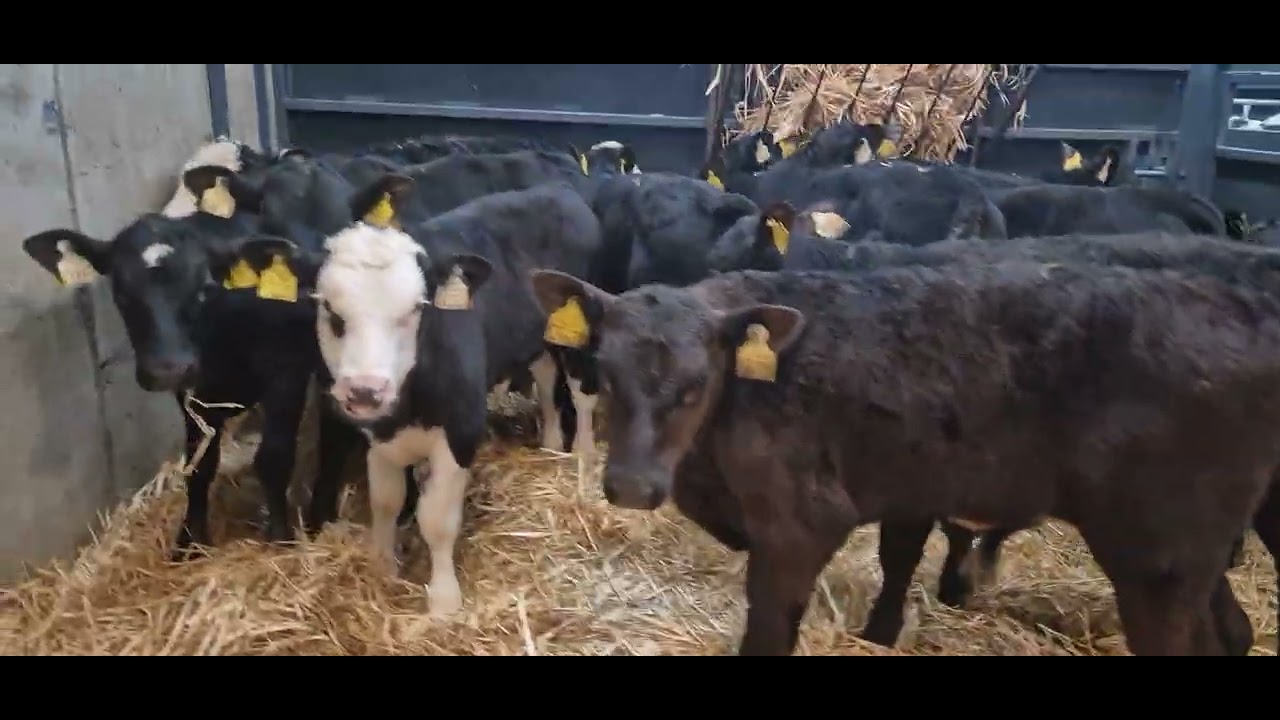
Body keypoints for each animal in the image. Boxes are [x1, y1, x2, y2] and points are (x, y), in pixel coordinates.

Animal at [225, 180, 604, 616]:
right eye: (332, 312)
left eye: (413, 311)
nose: (366, 389)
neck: (407, 407)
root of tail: (557, 189)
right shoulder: (378, 436)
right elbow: (386, 502)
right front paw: (383, 568)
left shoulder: (461, 430)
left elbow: (437, 520)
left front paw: (444, 601)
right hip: (532, 335)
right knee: (543, 374)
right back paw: (552, 443)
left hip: (576, 332)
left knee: (581, 391)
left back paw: (583, 452)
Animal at [530, 259, 1280, 656]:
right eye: (605, 372)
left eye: (695, 384)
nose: (632, 486)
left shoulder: (801, 522)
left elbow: (770, 625)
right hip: (1187, 551)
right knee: (1234, 631)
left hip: (1157, 556)